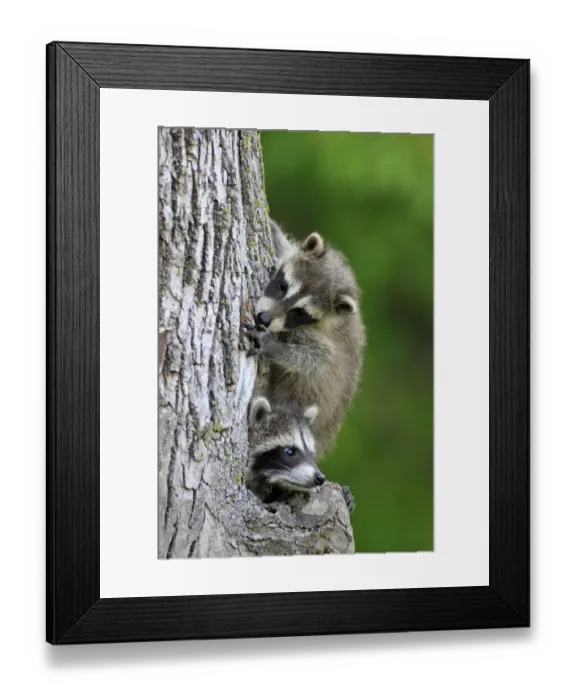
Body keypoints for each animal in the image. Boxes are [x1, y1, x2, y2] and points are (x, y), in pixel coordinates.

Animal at [245, 227, 365, 461]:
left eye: (300, 312)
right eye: (283, 286)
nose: (264, 318)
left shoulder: (327, 344)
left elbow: (311, 362)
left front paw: (273, 346)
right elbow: (283, 242)